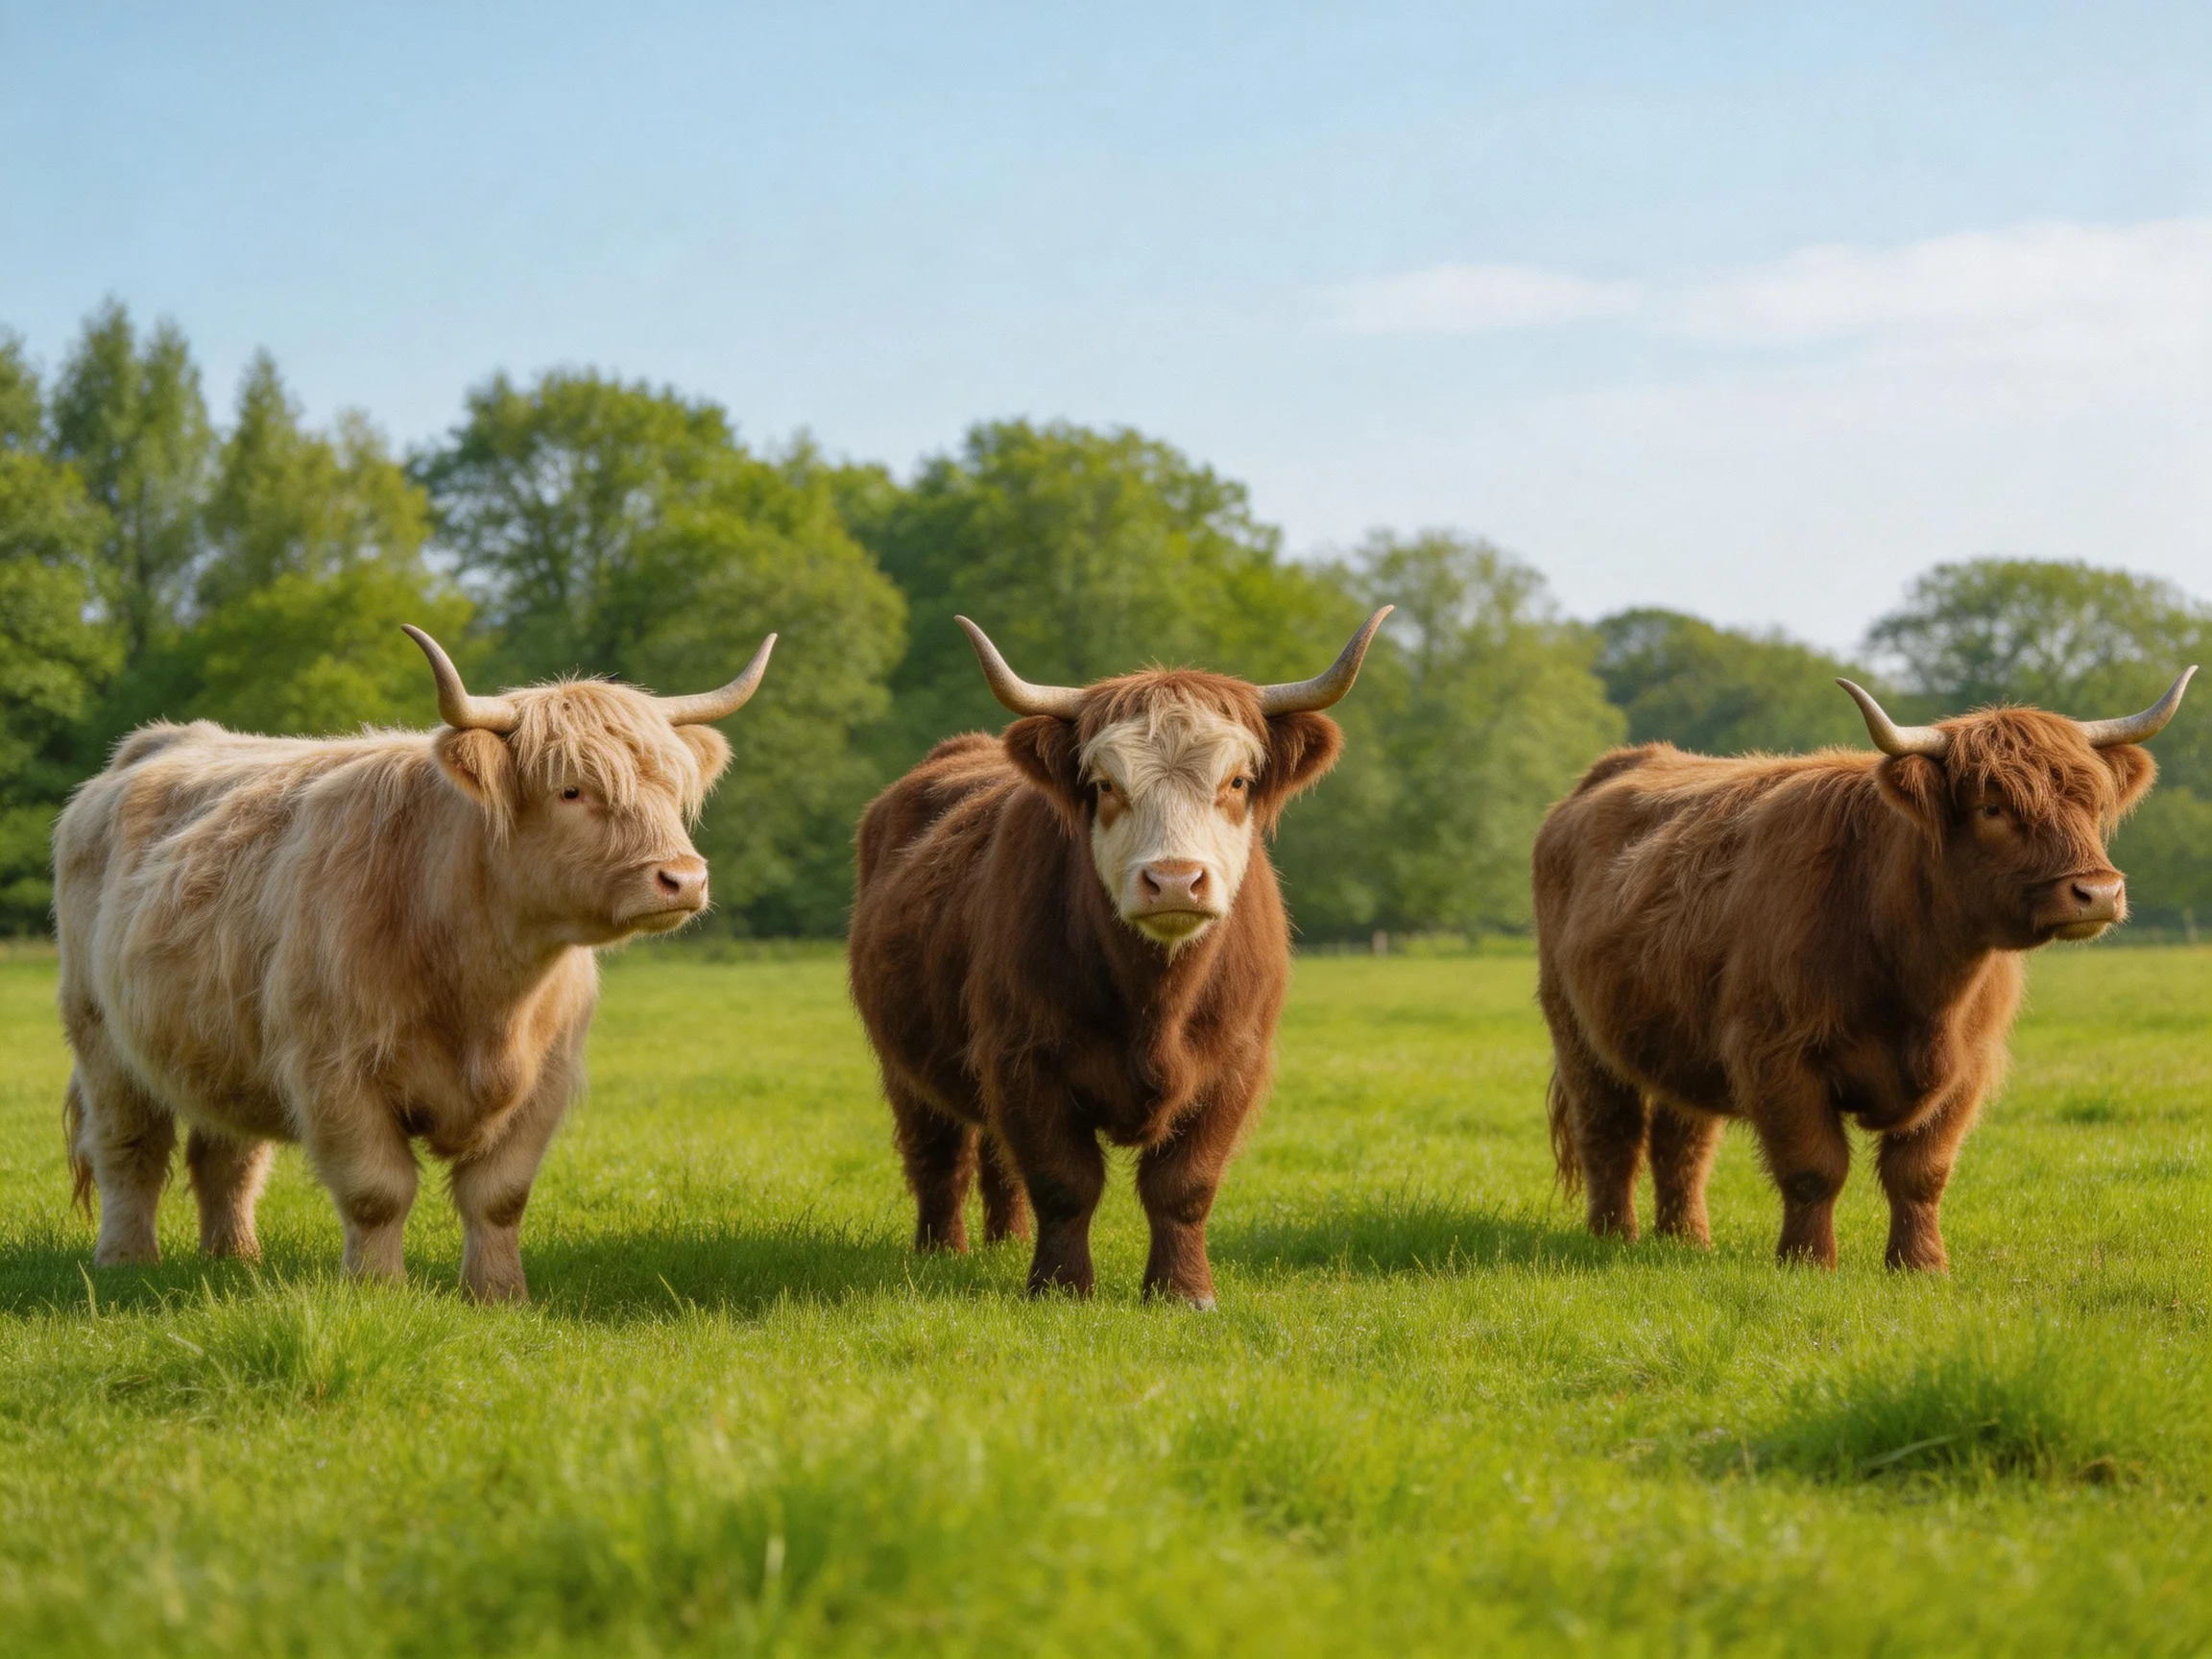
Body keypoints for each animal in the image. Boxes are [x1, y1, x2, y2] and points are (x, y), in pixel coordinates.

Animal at [53, 625, 773, 1301]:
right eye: (571, 790)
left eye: (671, 789)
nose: (682, 878)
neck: (484, 987)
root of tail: (153, 744)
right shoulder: (334, 1071)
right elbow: (378, 1192)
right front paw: (378, 1292)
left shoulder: (544, 1079)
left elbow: (500, 1196)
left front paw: (499, 1296)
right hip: (100, 1036)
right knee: (129, 1148)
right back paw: (126, 1261)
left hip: (224, 1047)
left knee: (227, 1157)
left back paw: (236, 1258)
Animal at [847, 611, 1390, 1308]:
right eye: (1106, 785)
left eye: (1237, 781)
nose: (1175, 879)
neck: (1157, 1001)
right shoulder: (1023, 1056)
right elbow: (1064, 1182)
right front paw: (1061, 1290)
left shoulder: (1234, 1063)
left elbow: (1184, 1185)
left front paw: (1183, 1292)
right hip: (906, 1066)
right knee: (940, 1154)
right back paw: (942, 1252)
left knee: (996, 1159)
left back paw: (1005, 1244)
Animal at [1534, 668, 2195, 1271]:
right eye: (1992, 807)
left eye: (2092, 802)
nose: (2098, 892)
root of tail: (1620, 764)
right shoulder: (1776, 1054)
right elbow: (1813, 1167)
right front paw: (1808, 1262)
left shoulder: (1969, 1066)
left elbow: (1921, 1172)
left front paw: (1920, 1265)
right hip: (1576, 1032)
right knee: (1611, 1133)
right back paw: (1613, 1238)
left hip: (1679, 1041)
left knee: (1684, 1142)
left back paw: (1688, 1242)